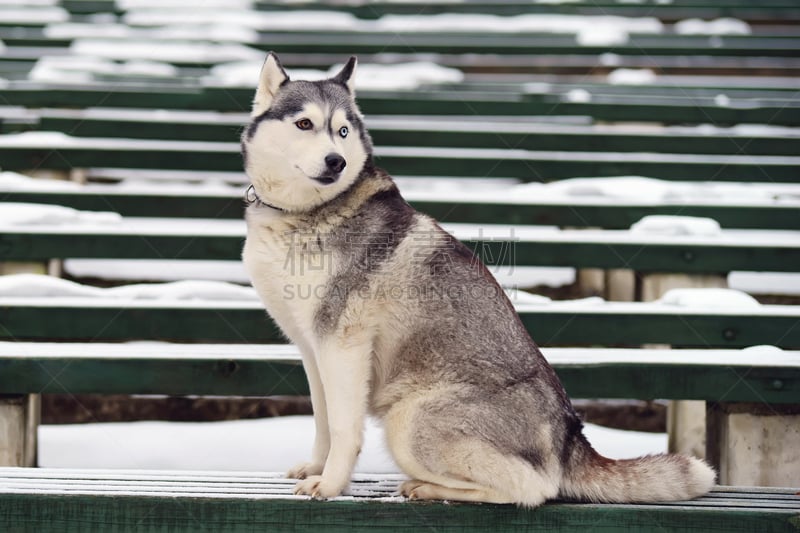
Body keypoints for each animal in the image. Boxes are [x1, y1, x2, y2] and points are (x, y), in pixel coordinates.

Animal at [238, 54, 712, 508]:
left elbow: (343, 428)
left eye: (341, 131)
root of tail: (569, 436)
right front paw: (315, 468)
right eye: (304, 124)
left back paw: (427, 488)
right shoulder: (312, 347)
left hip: (409, 417)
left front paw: (331, 484)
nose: (335, 161)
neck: (306, 213)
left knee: (532, 489)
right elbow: (323, 419)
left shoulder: (342, 344)